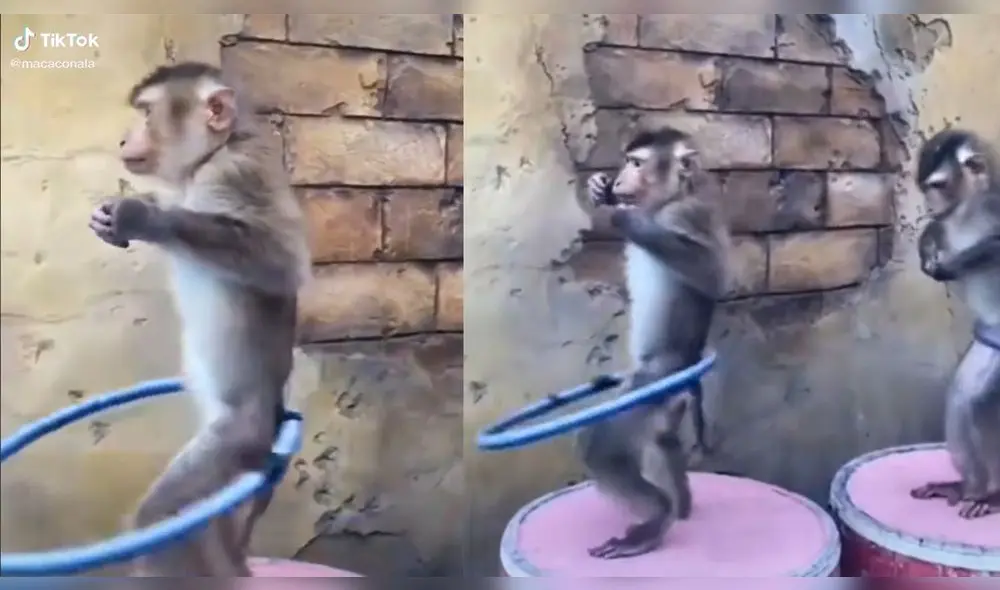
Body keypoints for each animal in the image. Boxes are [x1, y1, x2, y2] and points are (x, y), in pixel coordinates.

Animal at [88, 62, 311, 574]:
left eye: (146, 113)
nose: (124, 137)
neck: (207, 159)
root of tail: (273, 417)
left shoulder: (235, 174)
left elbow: (280, 261)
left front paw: (147, 217)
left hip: (237, 436)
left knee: (161, 519)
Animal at [574, 127, 730, 558]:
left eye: (637, 163)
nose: (619, 179)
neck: (670, 199)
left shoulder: (687, 215)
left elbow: (712, 275)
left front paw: (627, 218)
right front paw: (596, 188)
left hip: (653, 384)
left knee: (601, 449)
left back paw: (657, 518)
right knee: (663, 440)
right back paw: (681, 506)